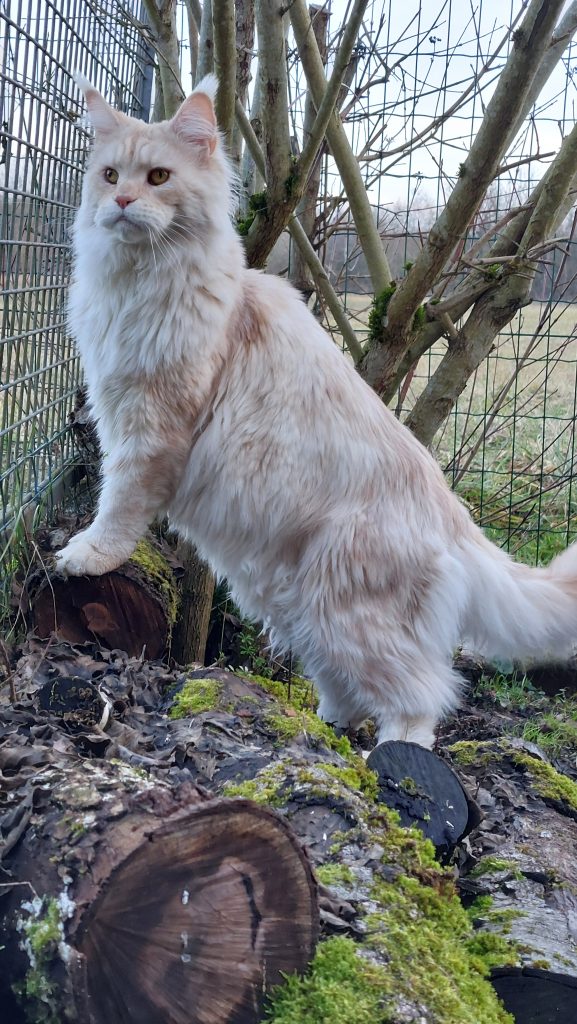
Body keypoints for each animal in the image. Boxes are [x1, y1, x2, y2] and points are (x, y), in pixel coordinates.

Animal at [56, 73, 577, 748]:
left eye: (159, 178)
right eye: (110, 174)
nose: (120, 203)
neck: (138, 283)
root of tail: (453, 517)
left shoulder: (150, 428)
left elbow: (117, 506)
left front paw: (88, 554)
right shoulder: (122, 411)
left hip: (349, 607)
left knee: (424, 695)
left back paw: (393, 757)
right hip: (298, 603)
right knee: (346, 684)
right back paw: (323, 726)